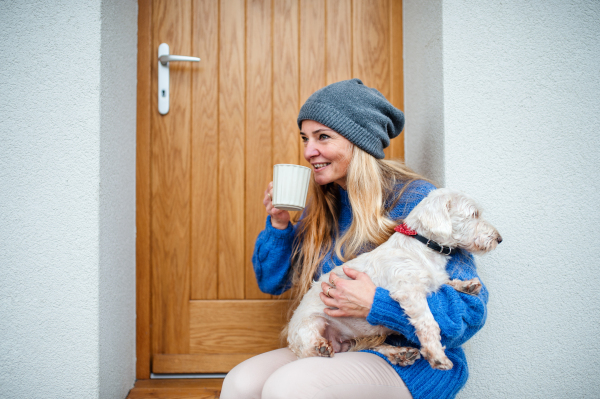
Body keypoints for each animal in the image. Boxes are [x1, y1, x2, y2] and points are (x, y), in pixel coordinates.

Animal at [286, 189, 502, 370]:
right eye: (474, 214)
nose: (499, 239)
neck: (423, 247)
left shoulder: (432, 279)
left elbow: (446, 282)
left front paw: (466, 284)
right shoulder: (410, 292)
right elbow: (429, 323)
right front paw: (437, 355)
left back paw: (399, 353)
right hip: (311, 324)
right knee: (305, 350)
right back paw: (319, 348)